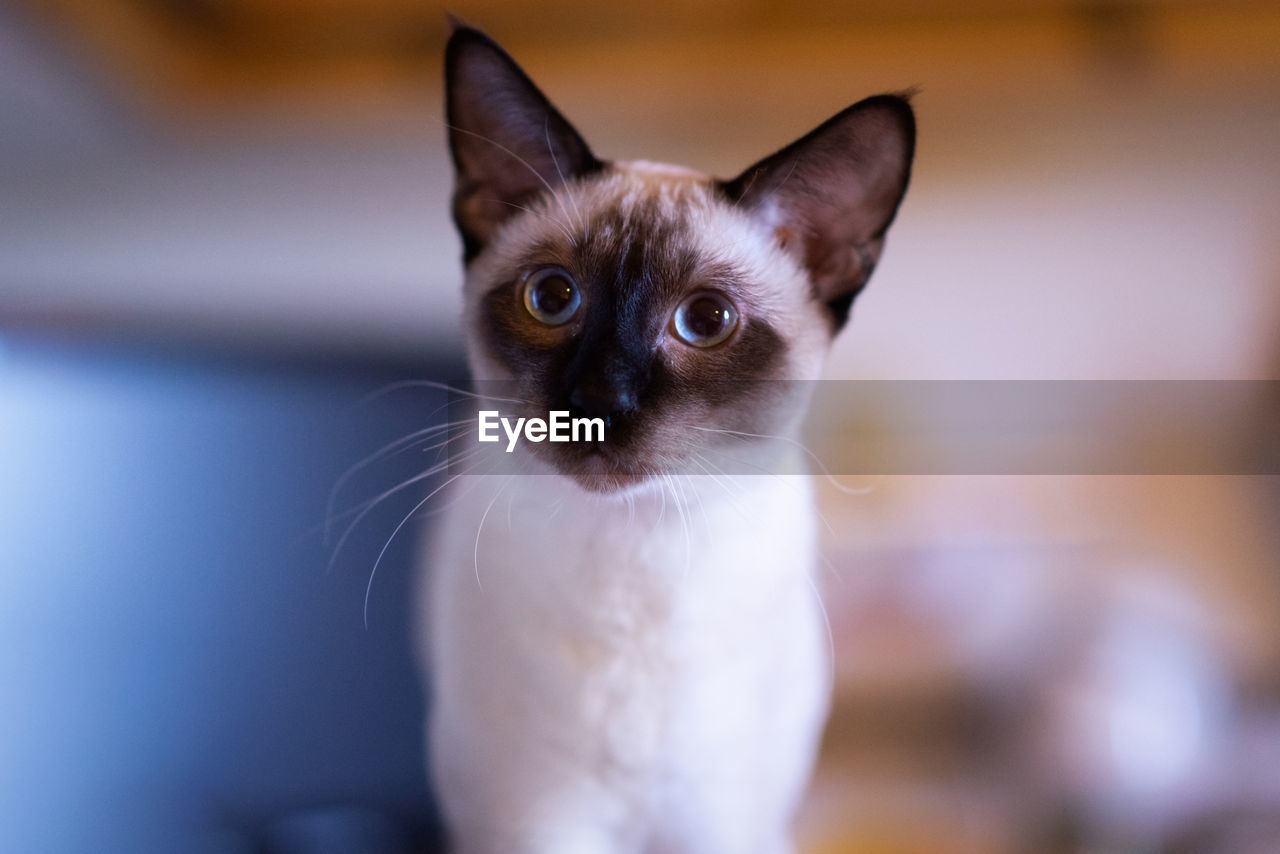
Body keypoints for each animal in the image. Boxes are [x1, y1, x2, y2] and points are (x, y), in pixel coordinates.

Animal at [424, 25, 916, 854]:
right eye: (551, 299)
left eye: (705, 321)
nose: (600, 401)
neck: (636, 544)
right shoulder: (536, 820)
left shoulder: (720, 823)